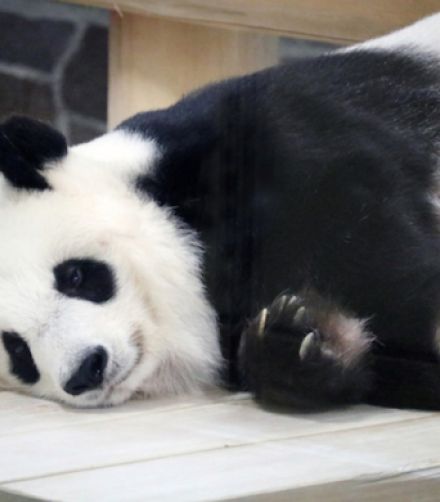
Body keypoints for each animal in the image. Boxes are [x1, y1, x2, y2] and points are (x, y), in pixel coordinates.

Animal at [0, 13, 440, 410]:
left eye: (74, 276)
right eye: (16, 350)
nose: (86, 369)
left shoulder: (263, 148)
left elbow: (372, 242)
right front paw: (302, 337)